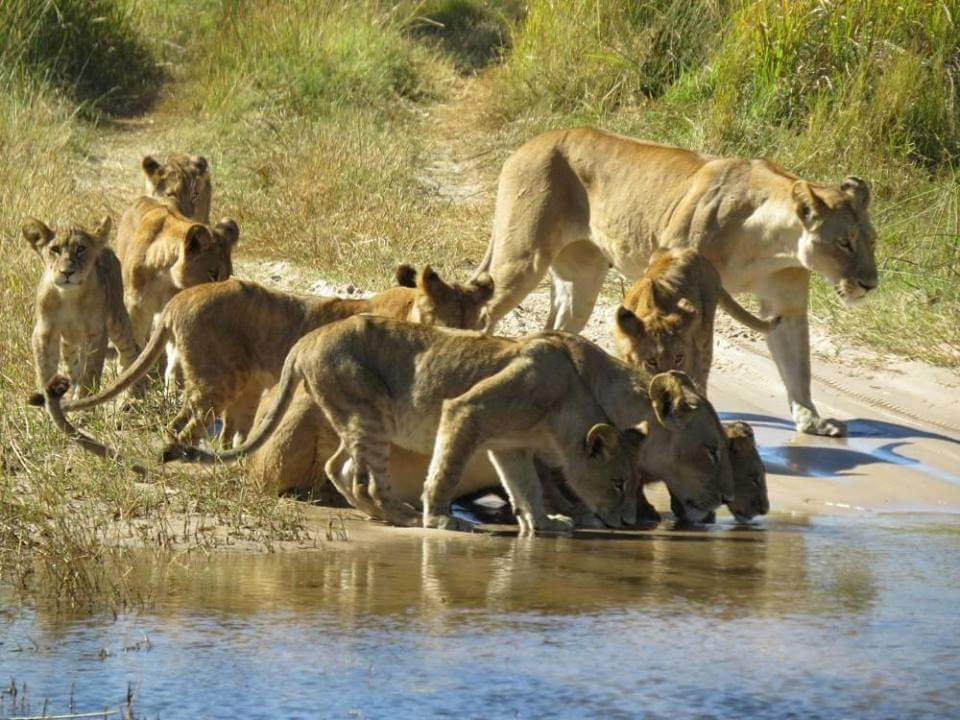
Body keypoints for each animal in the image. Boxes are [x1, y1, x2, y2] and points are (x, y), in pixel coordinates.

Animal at [22, 216, 140, 400]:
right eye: (55, 250)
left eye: (81, 249)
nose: (67, 272)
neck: (69, 296)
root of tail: (104, 245)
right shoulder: (44, 332)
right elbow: (45, 369)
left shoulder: (97, 332)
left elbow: (90, 372)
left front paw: (84, 401)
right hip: (69, 342)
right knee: (72, 366)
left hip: (117, 321)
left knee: (128, 353)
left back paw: (129, 395)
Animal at [40, 266, 494, 447]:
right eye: (444, 321)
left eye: (478, 326)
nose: (465, 348)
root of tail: (177, 301)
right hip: (219, 379)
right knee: (186, 425)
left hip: (238, 384)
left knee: (208, 427)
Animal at [160, 318, 734, 533]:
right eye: (711, 450)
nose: (629, 520)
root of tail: (304, 341)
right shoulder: (465, 411)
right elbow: (450, 466)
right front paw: (442, 516)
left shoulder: (509, 444)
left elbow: (525, 486)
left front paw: (542, 524)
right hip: (368, 411)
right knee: (360, 475)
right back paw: (407, 514)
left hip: (359, 420)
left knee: (341, 468)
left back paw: (387, 514)